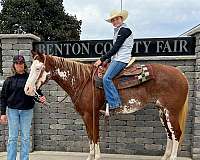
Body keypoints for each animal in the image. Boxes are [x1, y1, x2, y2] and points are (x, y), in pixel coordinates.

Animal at [24, 51, 188, 160]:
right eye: (30, 68)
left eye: (38, 68)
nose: (27, 89)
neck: (82, 81)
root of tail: (181, 75)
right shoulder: (86, 116)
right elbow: (90, 136)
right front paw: (90, 156)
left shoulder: (92, 114)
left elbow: (95, 136)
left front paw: (96, 157)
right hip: (162, 111)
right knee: (169, 134)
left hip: (171, 112)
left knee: (176, 134)